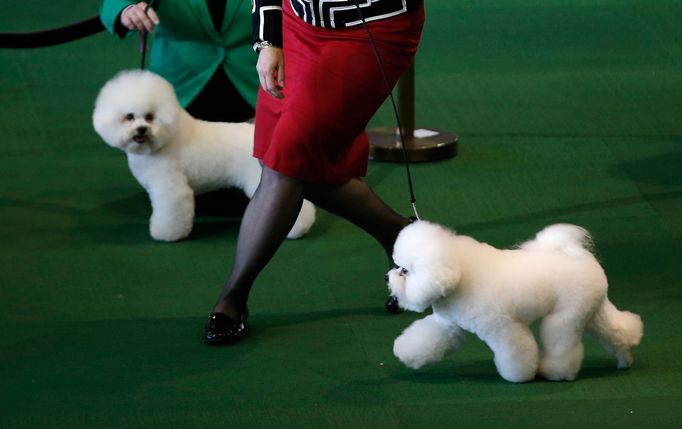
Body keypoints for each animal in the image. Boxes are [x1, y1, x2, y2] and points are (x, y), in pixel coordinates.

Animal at [91, 68, 314, 239]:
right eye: (129, 117)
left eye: (150, 117)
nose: (141, 130)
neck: (164, 140)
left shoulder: (170, 187)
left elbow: (170, 211)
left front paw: (167, 234)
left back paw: (296, 229)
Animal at [386, 221, 640, 382]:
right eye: (398, 266)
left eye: (405, 271)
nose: (388, 277)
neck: (458, 274)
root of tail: (581, 256)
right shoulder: (447, 326)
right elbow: (426, 339)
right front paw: (405, 352)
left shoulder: (503, 329)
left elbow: (516, 352)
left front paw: (519, 376)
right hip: (593, 311)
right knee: (617, 330)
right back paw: (625, 358)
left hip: (565, 317)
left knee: (562, 344)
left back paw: (556, 372)